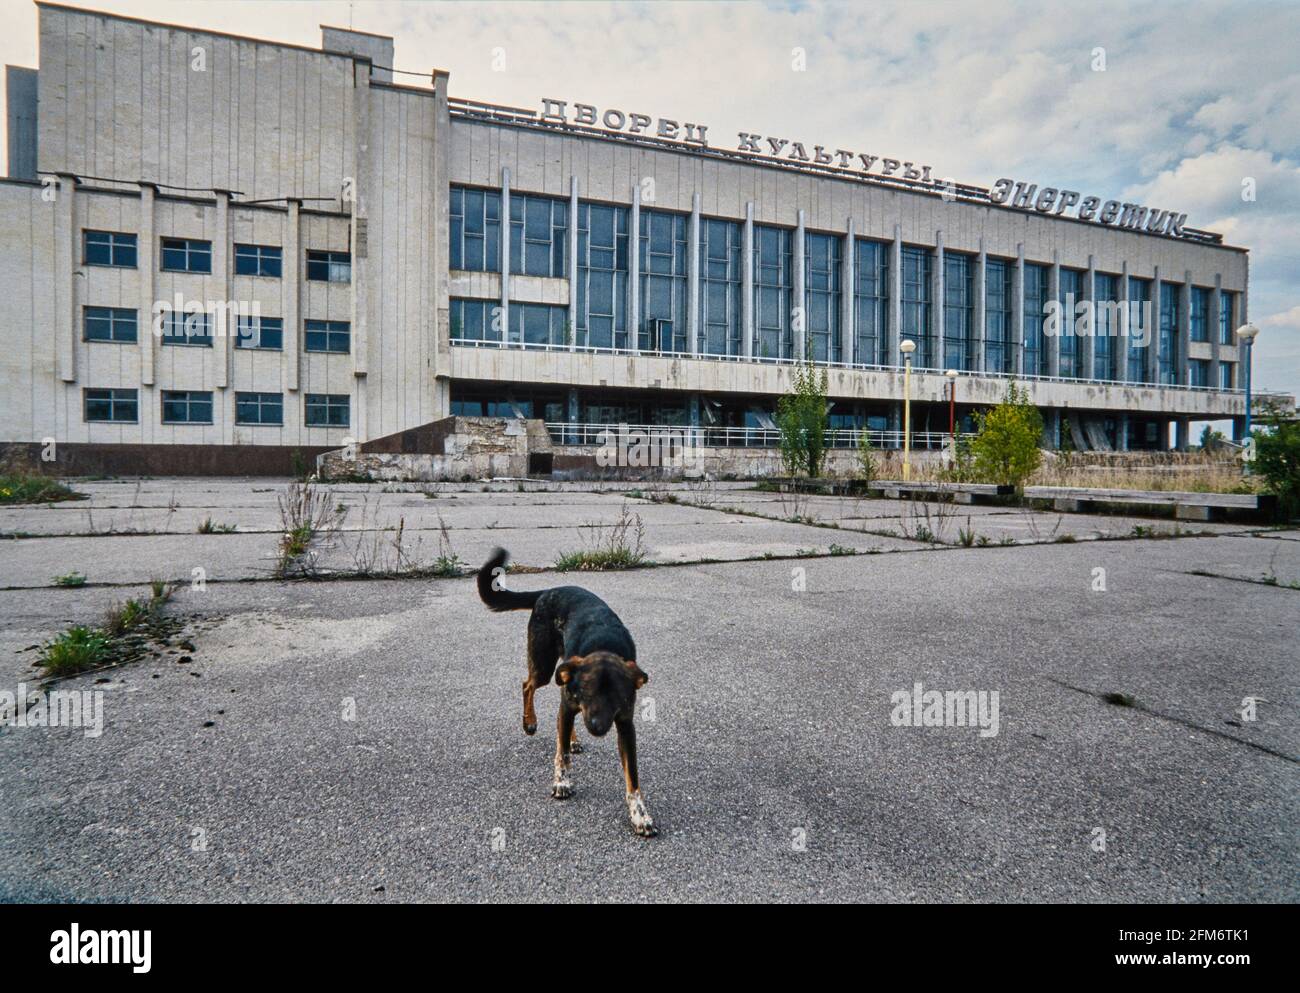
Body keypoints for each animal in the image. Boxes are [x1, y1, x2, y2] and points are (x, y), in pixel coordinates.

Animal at [480, 545, 660, 831]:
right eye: (587, 692)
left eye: (618, 697)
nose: (597, 728)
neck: (604, 645)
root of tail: (549, 590)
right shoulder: (571, 702)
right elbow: (561, 754)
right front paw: (562, 782)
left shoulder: (625, 723)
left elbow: (632, 776)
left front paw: (639, 814)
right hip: (544, 665)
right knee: (528, 685)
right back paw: (529, 722)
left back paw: (572, 738)